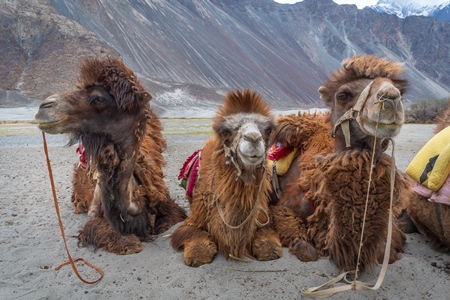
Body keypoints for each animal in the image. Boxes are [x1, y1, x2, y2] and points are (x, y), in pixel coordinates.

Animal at [33, 56, 185, 253]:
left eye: (100, 98)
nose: (44, 106)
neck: (134, 202)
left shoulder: (168, 206)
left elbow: (171, 221)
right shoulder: (96, 215)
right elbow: (100, 230)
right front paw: (129, 243)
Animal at [171, 89, 284, 268]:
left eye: (267, 130)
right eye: (225, 132)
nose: (253, 138)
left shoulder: (263, 218)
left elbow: (269, 240)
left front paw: (269, 250)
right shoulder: (194, 219)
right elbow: (192, 235)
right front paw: (197, 253)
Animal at [268, 54, 414, 272]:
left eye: (401, 93)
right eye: (343, 95)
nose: (390, 97)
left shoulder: (390, 231)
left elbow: (386, 253)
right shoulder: (284, 208)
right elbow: (306, 250)